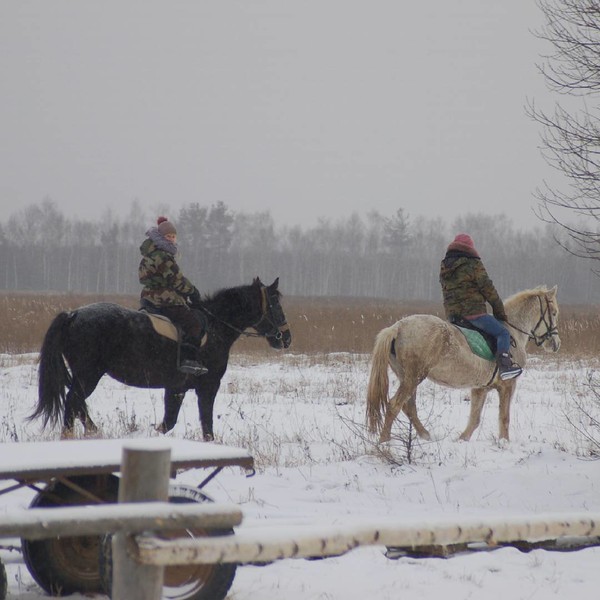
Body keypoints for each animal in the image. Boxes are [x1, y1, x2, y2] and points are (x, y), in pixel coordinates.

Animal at [29, 276, 290, 440]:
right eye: (275, 305)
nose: (286, 338)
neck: (216, 327)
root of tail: (73, 315)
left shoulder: (177, 388)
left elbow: (169, 422)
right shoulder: (206, 386)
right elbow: (202, 424)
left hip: (85, 375)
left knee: (77, 404)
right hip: (88, 374)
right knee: (73, 402)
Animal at [366, 284, 564, 442]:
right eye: (554, 313)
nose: (556, 344)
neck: (512, 333)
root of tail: (398, 327)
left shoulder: (480, 388)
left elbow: (474, 419)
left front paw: (462, 440)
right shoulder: (508, 385)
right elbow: (504, 417)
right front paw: (504, 443)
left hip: (407, 378)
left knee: (409, 407)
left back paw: (425, 435)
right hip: (413, 378)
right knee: (394, 405)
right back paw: (385, 442)